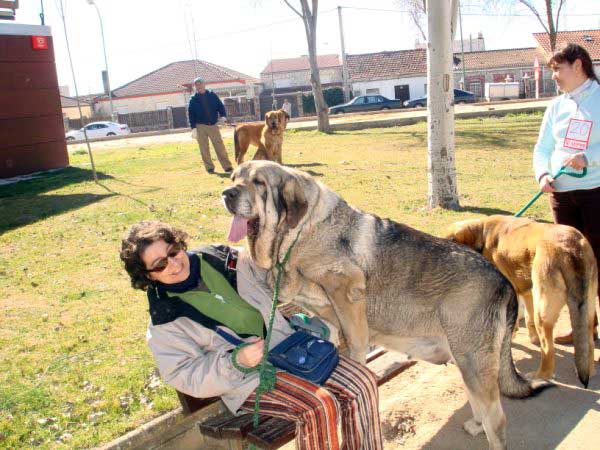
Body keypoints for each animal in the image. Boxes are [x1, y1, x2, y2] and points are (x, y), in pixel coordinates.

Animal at [223, 162, 552, 450]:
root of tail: (503, 282)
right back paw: (475, 425)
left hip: (472, 359)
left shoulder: (348, 293)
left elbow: (355, 343)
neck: (303, 229)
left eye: (258, 183)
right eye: (234, 177)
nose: (226, 193)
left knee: (496, 418)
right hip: (467, 359)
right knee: (482, 407)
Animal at [442, 215, 596, 386]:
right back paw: (589, 370)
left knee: (548, 350)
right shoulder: (527, 292)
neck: (482, 233)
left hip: (543, 311)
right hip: (586, 306)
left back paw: (540, 375)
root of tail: (571, 248)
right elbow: (528, 317)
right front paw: (532, 337)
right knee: (589, 340)